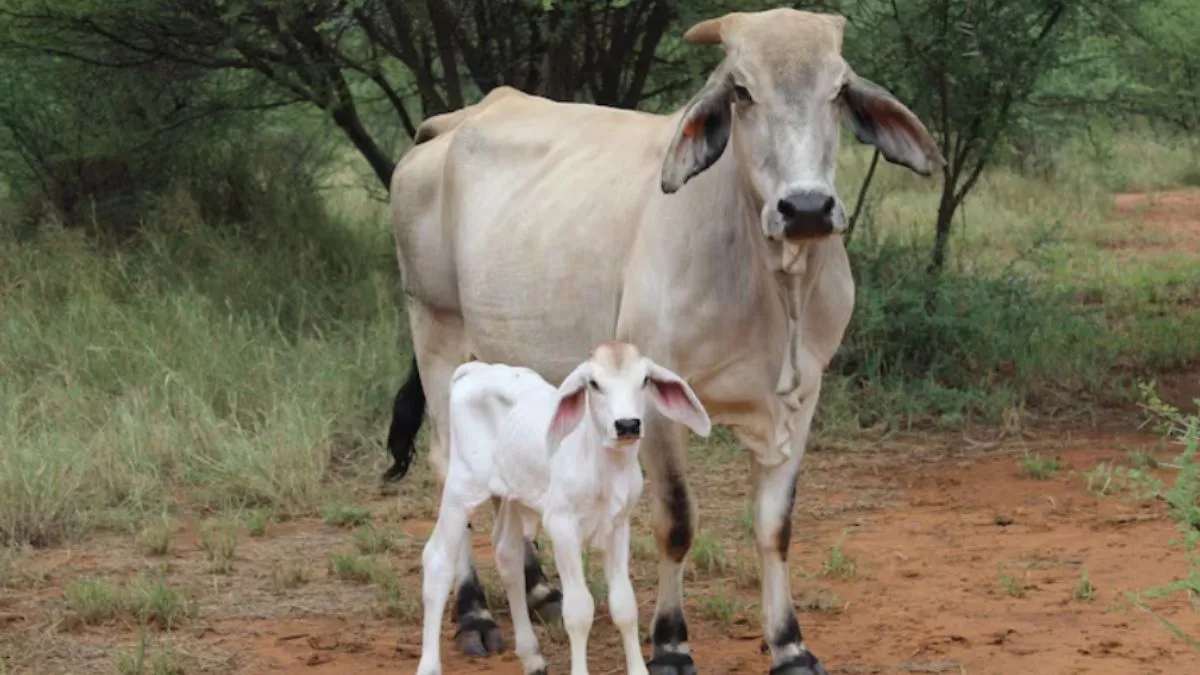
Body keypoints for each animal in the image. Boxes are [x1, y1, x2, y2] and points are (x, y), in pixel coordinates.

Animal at [385, 8, 942, 675]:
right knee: (448, 467)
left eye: (837, 90)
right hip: (435, 330)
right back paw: (473, 614)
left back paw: (539, 589)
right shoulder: (655, 400)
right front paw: (671, 643)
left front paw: (790, 645)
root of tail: (453, 121)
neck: (772, 287)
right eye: (741, 91)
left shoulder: (803, 396)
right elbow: (677, 521)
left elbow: (774, 526)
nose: (806, 206)